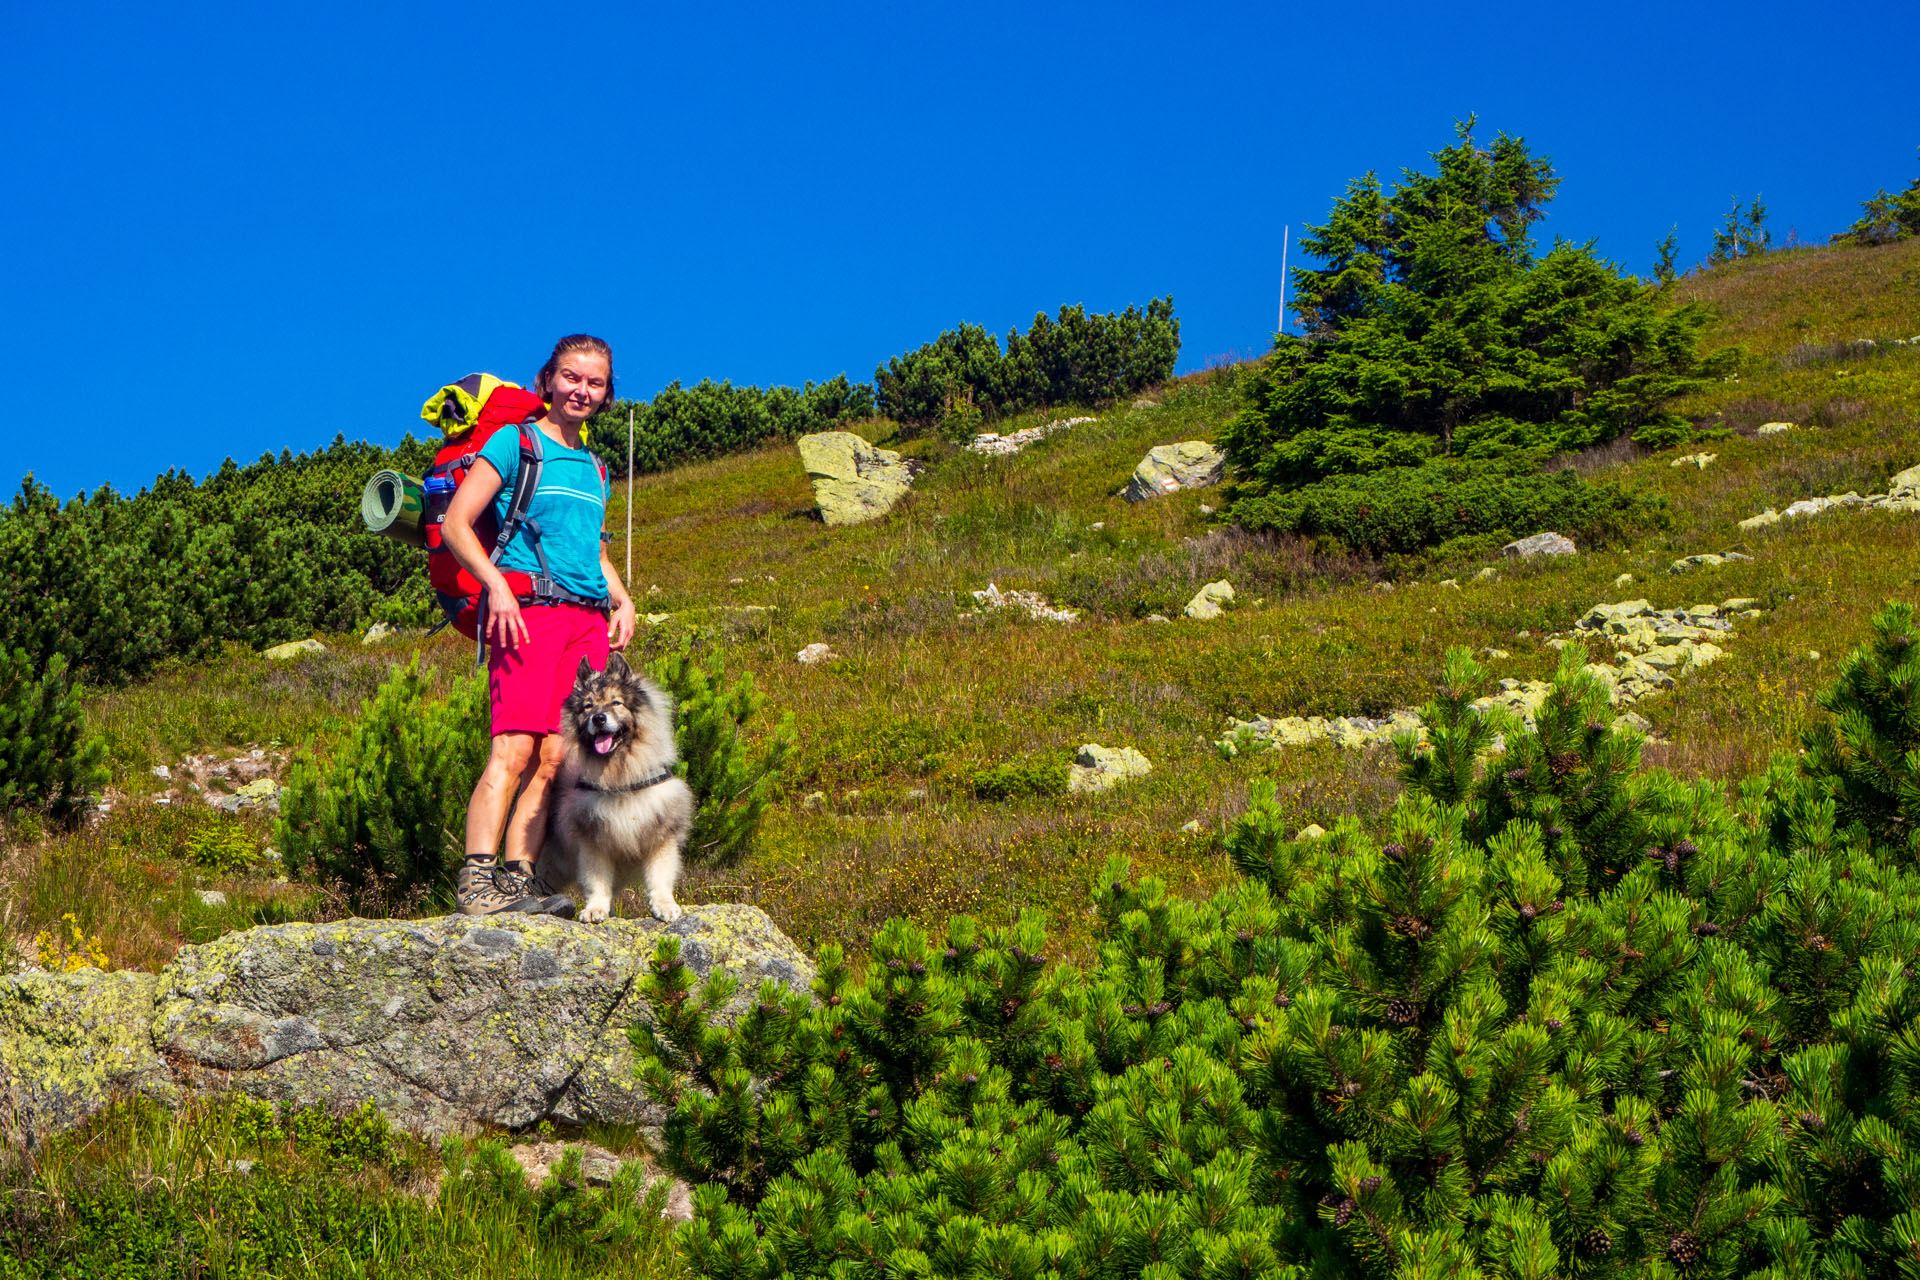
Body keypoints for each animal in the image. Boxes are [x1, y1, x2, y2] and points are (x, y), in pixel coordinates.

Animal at [537, 660, 695, 921]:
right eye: (588, 706)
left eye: (616, 702)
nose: (598, 719)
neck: (621, 779)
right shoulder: (594, 841)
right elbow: (597, 882)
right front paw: (595, 909)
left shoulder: (660, 836)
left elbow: (659, 878)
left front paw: (664, 906)